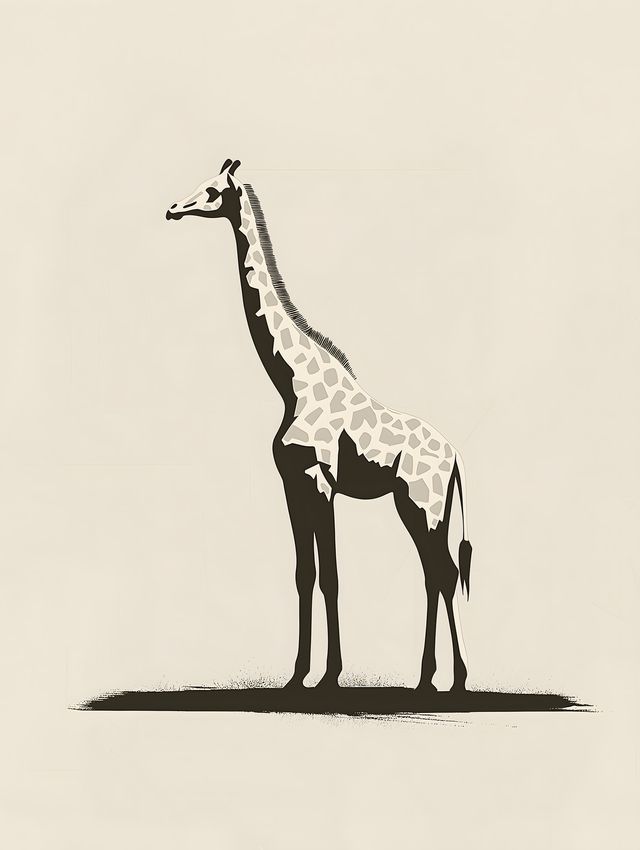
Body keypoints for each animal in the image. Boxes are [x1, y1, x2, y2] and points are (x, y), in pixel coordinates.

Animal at [166, 159, 473, 693]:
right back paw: (427, 679)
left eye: (211, 191)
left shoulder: (320, 482)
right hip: (412, 506)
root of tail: (455, 457)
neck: (292, 382)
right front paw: (296, 676)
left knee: (445, 572)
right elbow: (302, 575)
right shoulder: (291, 483)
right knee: (436, 573)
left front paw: (329, 676)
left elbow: (330, 575)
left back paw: (454, 680)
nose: (171, 209)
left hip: (425, 504)